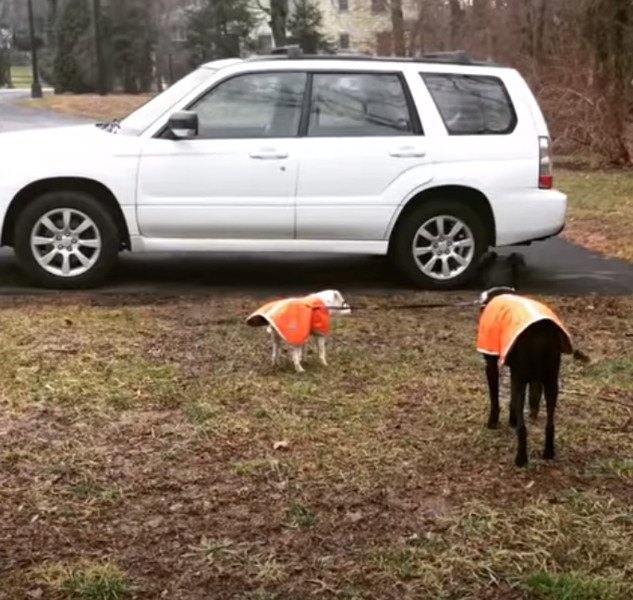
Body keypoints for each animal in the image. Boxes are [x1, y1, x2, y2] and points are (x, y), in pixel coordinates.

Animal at [478, 288, 572, 468]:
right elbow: (514, 402)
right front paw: (512, 420)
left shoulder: (492, 366)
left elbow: (495, 399)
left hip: (521, 382)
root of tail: (541, 335)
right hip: (551, 383)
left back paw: (520, 459)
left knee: (523, 429)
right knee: (550, 424)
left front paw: (493, 423)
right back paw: (548, 453)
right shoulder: (519, 375)